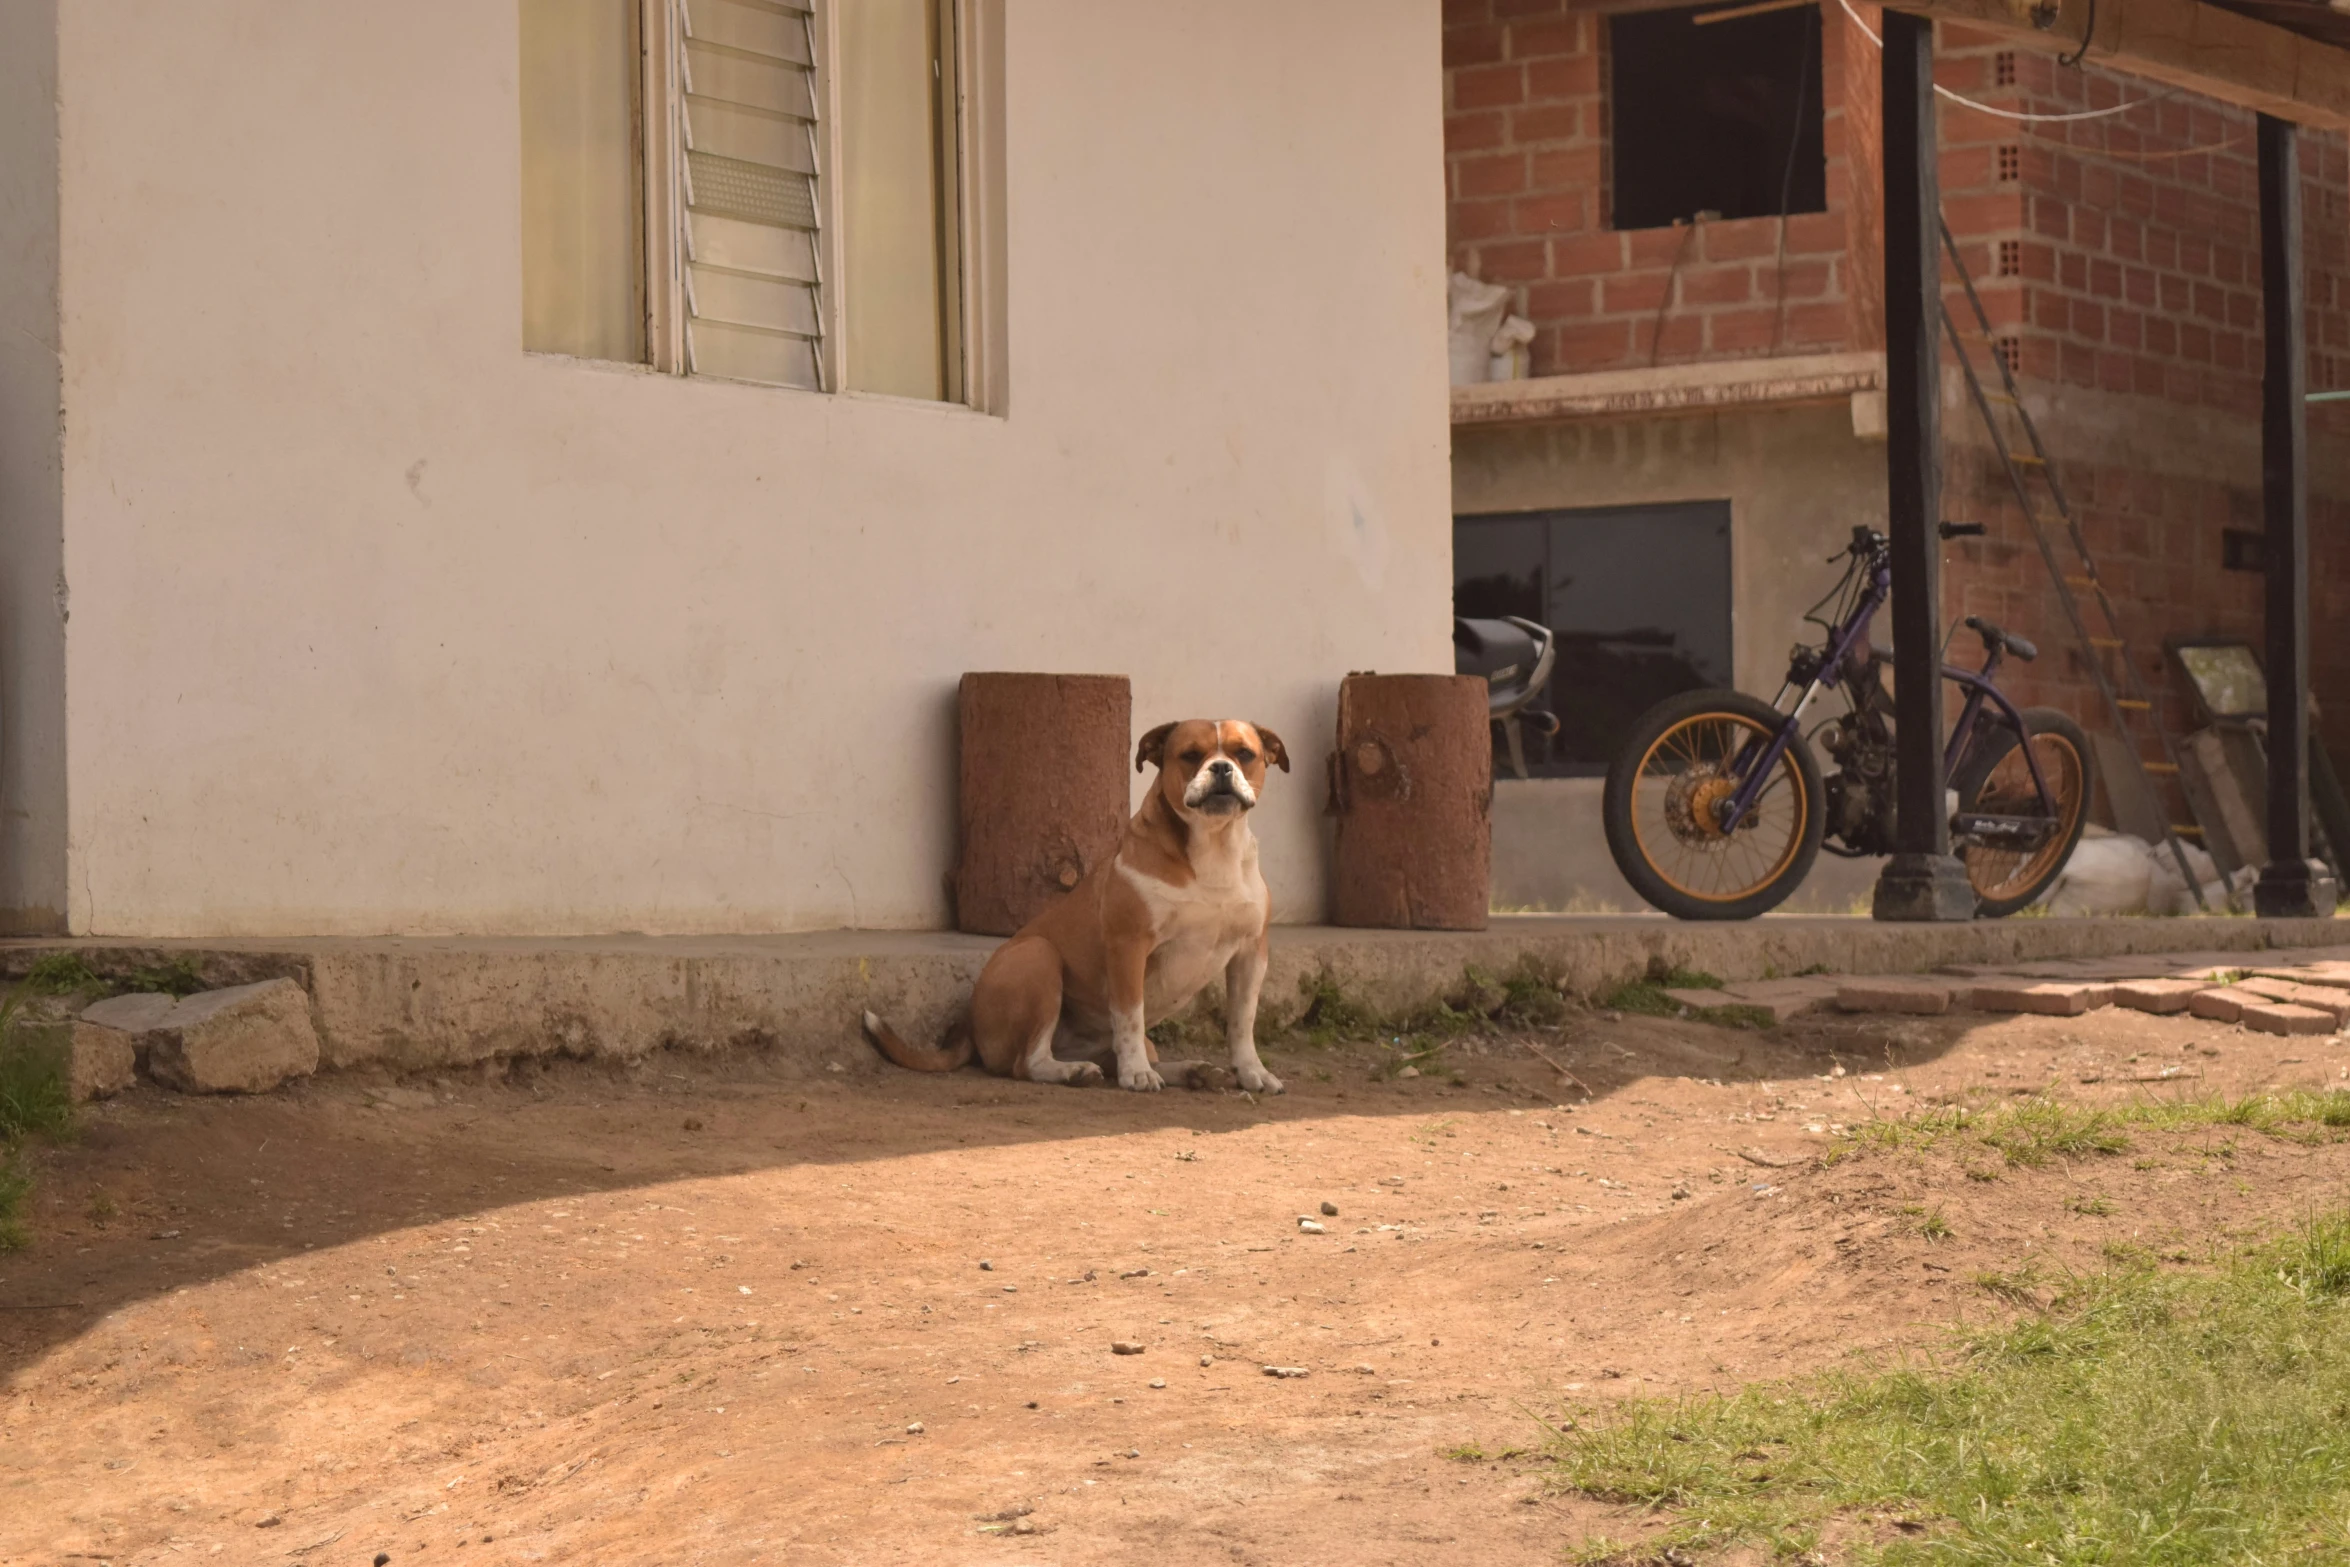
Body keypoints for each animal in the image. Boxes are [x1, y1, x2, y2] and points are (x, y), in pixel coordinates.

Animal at [869, 718, 1287, 1099]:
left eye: (1244, 753)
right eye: (1190, 755)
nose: (1221, 767)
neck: (1213, 847)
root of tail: (970, 1025)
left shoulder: (1251, 953)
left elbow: (1242, 1021)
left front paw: (1252, 1071)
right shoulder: (1128, 946)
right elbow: (1130, 1016)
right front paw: (1137, 1074)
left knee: (1118, 1055)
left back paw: (1193, 1071)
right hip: (1039, 958)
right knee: (1029, 1062)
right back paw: (1076, 1071)